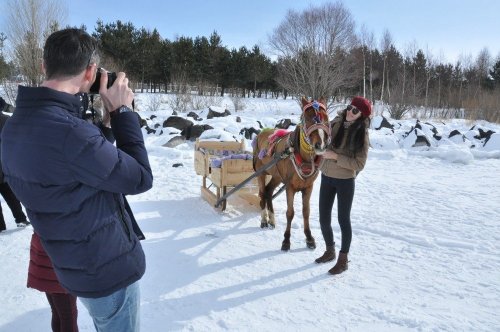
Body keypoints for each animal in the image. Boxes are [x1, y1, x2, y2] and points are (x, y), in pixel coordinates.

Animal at [252, 97, 330, 250]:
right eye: (307, 118)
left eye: (326, 117)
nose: (320, 145)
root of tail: (260, 134)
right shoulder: (290, 187)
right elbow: (290, 213)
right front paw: (286, 240)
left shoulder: (308, 187)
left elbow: (306, 212)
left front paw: (309, 238)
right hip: (261, 172)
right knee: (263, 194)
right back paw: (264, 219)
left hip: (276, 176)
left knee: (269, 192)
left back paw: (272, 220)